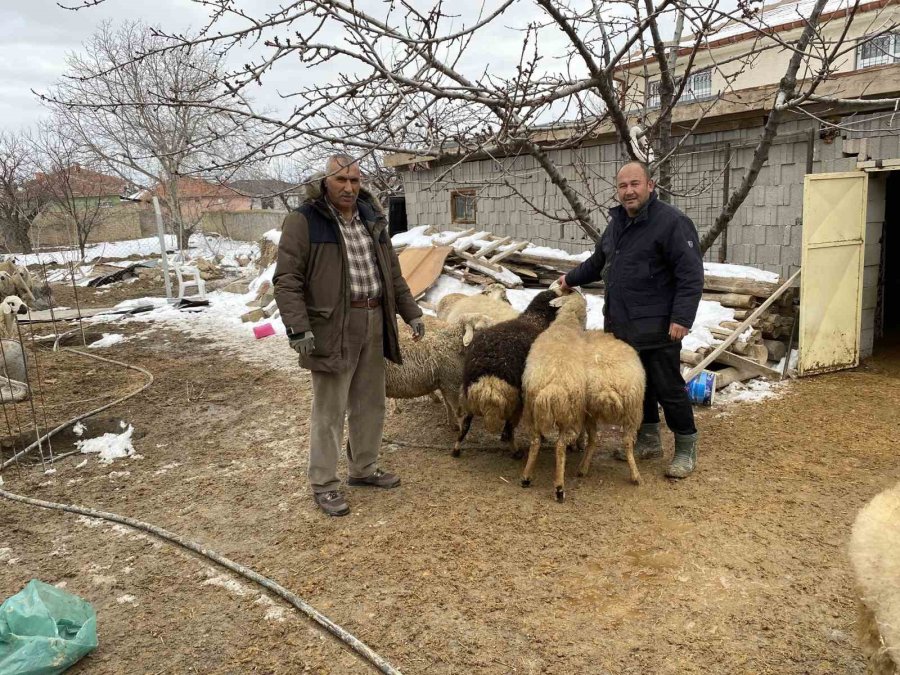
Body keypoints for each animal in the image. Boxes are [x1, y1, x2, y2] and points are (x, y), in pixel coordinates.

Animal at [520, 290, 592, 502]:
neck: (566, 322)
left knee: (535, 442)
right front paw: (580, 444)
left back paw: (526, 477)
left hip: (531, 409)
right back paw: (560, 488)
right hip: (569, 415)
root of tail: (552, 390)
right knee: (559, 447)